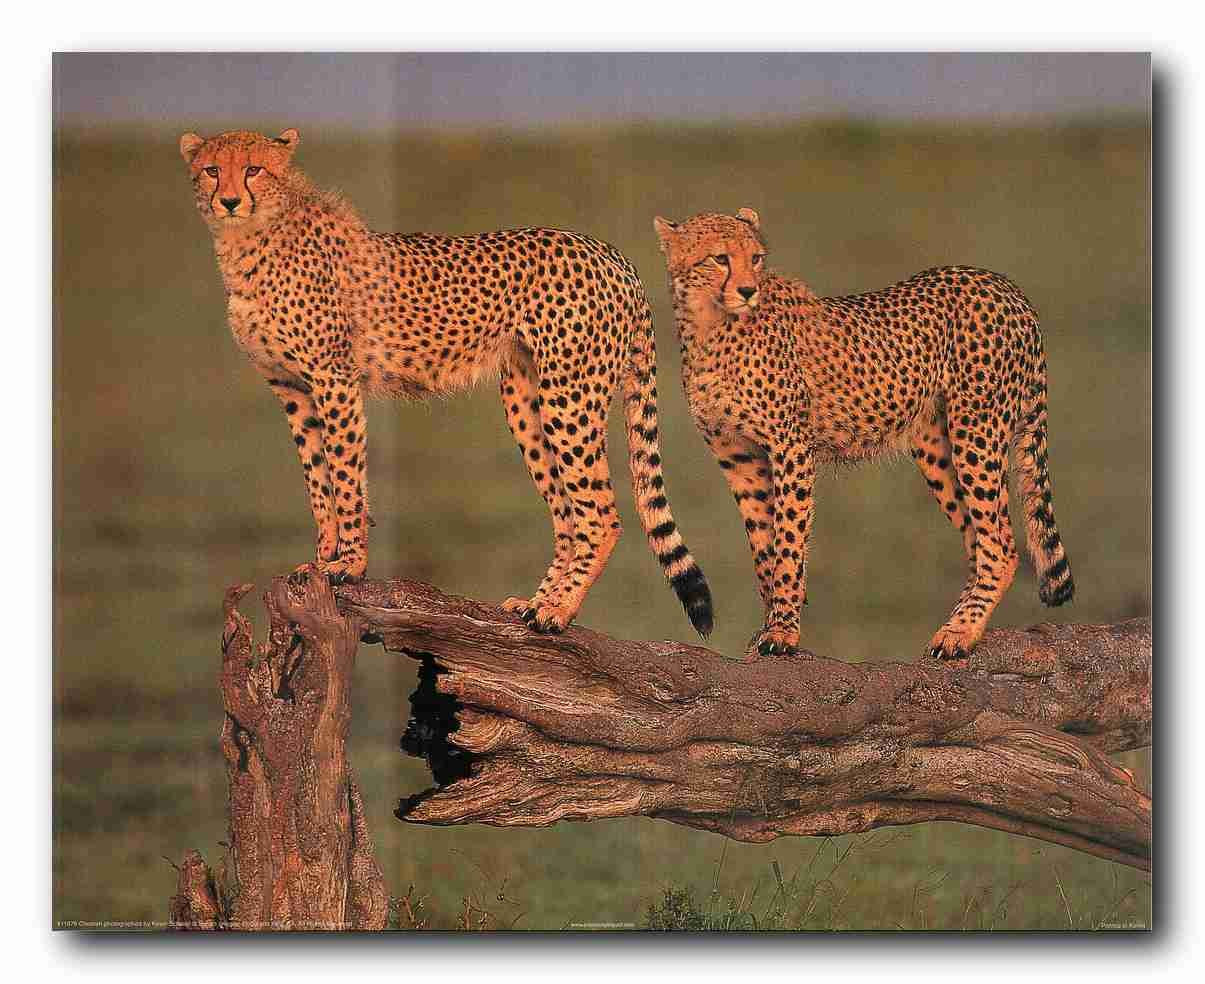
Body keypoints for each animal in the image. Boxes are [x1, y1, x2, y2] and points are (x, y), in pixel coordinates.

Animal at [178, 127, 713, 637]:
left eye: (253, 169)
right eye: (211, 170)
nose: (229, 200)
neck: (251, 236)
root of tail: (614, 256)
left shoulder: (334, 378)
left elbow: (345, 475)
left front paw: (349, 565)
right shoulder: (292, 388)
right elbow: (317, 476)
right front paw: (322, 557)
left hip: (570, 397)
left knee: (599, 514)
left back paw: (557, 613)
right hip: (526, 400)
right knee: (567, 515)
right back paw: (537, 603)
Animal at [653, 208, 1073, 661]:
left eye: (757, 258)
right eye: (720, 258)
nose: (749, 290)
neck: (710, 324)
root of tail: (1005, 285)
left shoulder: (790, 449)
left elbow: (787, 543)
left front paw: (782, 630)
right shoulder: (739, 456)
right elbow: (764, 543)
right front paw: (772, 621)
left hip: (976, 431)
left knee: (1001, 544)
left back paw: (960, 633)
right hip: (936, 446)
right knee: (978, 542)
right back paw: (959, 622)